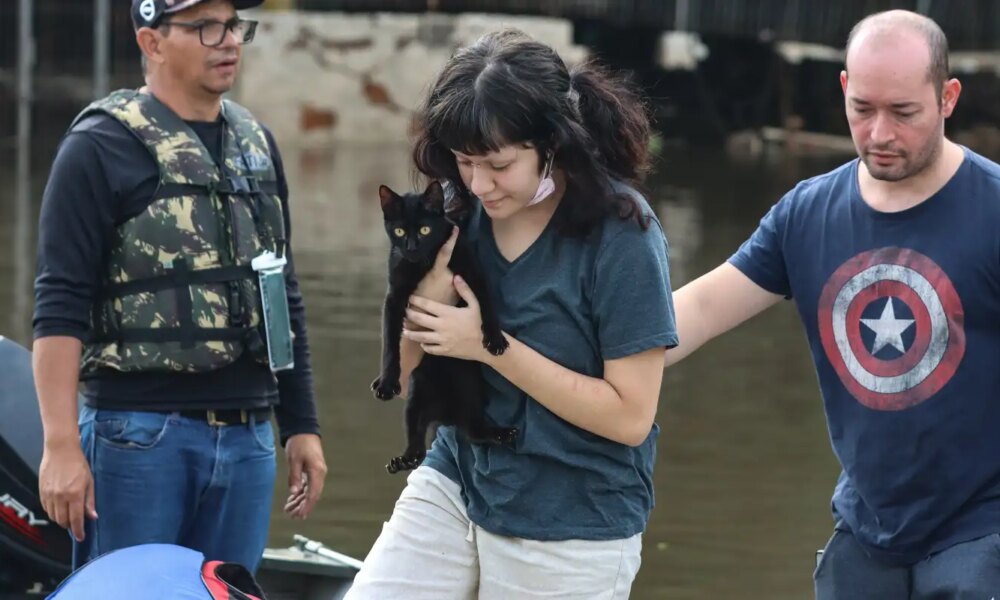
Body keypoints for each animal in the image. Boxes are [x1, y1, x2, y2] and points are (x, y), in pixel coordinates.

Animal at [372, 180, 518, 474]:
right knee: (417, 441)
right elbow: (390, 344)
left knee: (472, 430)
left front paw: (495, 340)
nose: (411, 247)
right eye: (399, 231)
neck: (424, 263)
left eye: (425, 230)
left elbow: (487, 306)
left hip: (470, 388)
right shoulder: (395, 296)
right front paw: (388, 383)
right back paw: (402, 460)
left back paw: (501, 433)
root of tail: (446, 415)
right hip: (416, 393)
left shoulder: (473, 272)